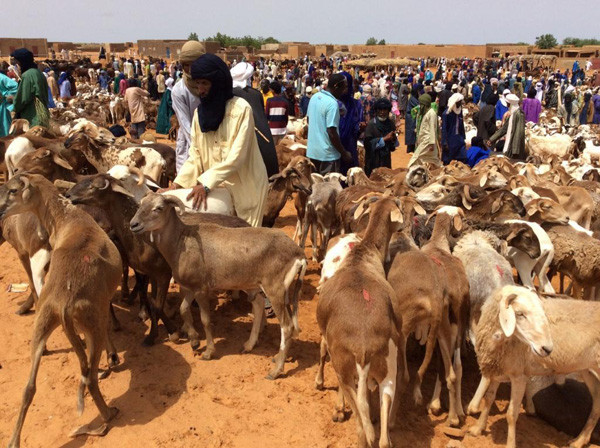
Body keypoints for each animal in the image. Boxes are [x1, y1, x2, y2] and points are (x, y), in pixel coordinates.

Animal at [0, 174, 122, 444]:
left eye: (12, 190)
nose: (0, 212)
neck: (68, 219)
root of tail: (63, 303)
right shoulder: (101, 304)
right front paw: (113, 356)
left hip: (42, 323)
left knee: (29, 388)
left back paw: (14, 441)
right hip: (90, 324)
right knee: (89, 378)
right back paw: (108, 414)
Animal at [132, 192, 310, 378]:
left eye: (158, 208)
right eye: (141, 204)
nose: (133, 224)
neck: (181, 241)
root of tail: (299, 254)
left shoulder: (201, 289)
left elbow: (205, 320)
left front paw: (208, 352)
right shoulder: (191, 288)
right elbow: (183, 309)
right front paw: (194, 341)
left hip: (275, 289)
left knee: (287, 326)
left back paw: (275, 370)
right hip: (271, 289)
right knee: (261, 306)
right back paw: (253, 347)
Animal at [314, 198, 404, 448]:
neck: (361, 257)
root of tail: (363, 347)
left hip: (345, 370)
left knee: (362, 430)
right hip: (388, 368)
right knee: (382, 436)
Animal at [468, 286, 600, 446]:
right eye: (519, 314)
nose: (548, 348)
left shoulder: (519, 376)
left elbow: (511, 414)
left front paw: (510, 444)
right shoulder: (499, 369)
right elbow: (488, 398)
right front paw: (478, 428)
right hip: (588, 370)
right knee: (597, 401)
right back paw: (579, 441)